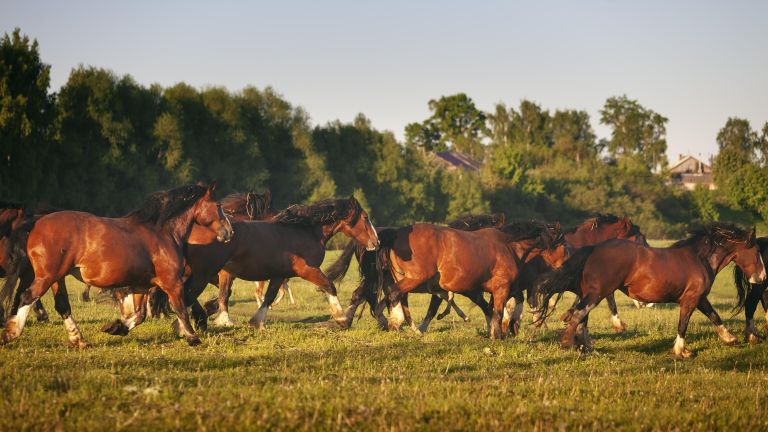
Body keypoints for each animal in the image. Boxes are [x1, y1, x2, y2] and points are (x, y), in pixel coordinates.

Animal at [0, 183, 233, 347]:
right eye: (218, 206)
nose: (229, 232)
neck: (161, 233)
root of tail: (36, 223)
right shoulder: (172, 283)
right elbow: (180, 309)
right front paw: (193, 338)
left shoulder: (141, 286)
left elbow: (139, 315)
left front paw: (116, 327)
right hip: (47, 276)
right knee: (27, 297)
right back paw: (11, 333)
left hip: (57, 278)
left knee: (62, 305)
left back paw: (79, 340)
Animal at [186, 196, 379, 330]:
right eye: (365, 217)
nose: (376, 242)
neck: (307, 231)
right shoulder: (306, 269)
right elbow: (329, 286)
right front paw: (341, 319)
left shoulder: (280, 275)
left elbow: (269, 297)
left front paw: (257, 322)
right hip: (210, 272)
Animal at [535, 222, 766, 358]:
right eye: (756, 251)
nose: (762, 277)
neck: (700, 259)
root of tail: (593, 249)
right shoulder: (690, 300)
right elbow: (683, 324)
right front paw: (681, 351)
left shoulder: (700, 298)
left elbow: (715, 316)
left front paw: (730, 339)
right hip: (597, 293)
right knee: (579, 314)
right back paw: (569, 342)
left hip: (591, 293)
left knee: (581, 318)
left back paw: (586, 348)